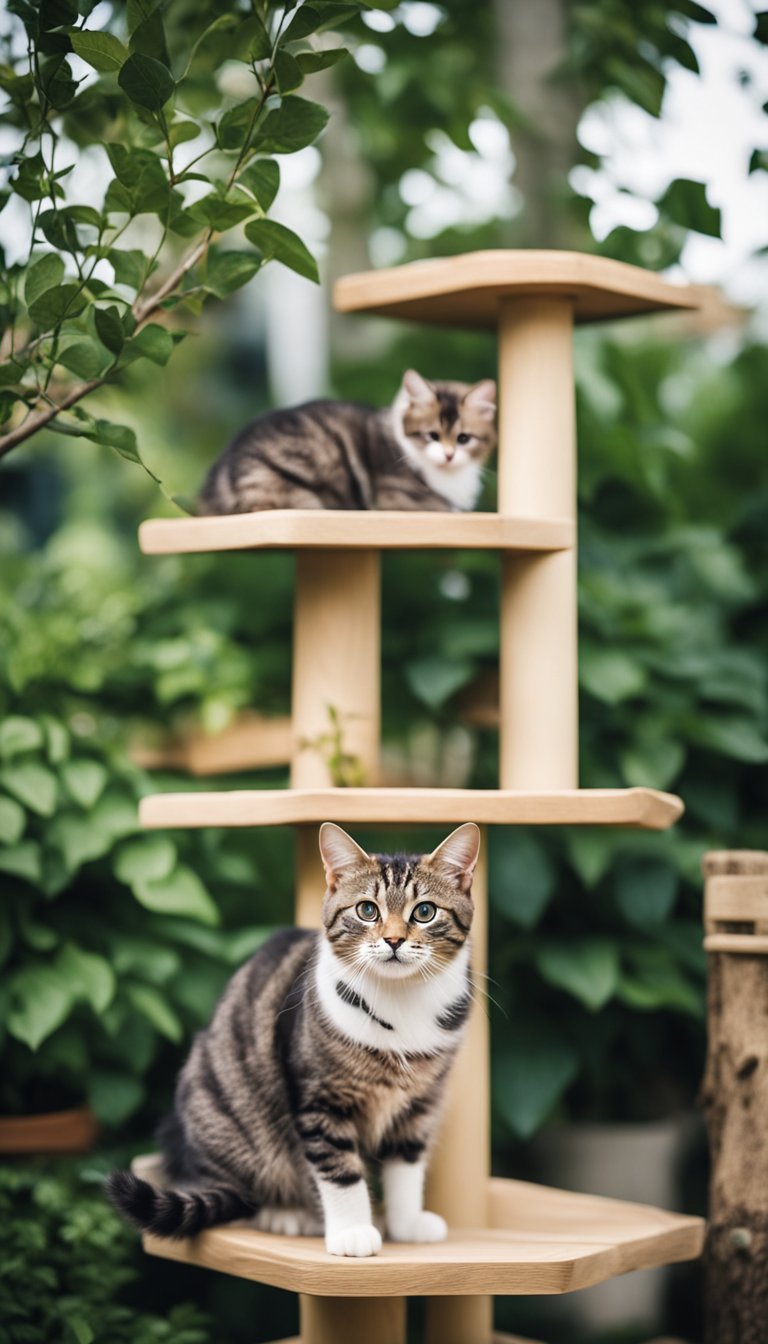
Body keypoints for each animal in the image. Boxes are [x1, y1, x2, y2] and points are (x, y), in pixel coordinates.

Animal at [106, 822, 481, 1252]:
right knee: (245, 1194)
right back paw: (287, 1214)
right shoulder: (320, 1099)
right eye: (367, 910)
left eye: (425, 912)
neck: (400, 1003)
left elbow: (406, 1164)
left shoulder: (420, 1103)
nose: (394, 940)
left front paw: (407, 1223)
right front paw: (353, 1232)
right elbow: (340, 1171)